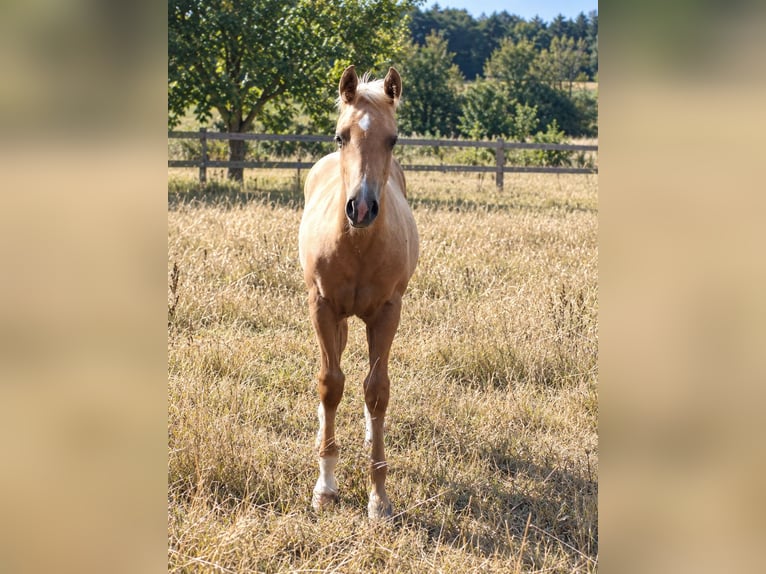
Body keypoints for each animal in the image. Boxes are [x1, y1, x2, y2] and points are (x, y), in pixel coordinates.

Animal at [298, 65, 419, 519]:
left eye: (393, 139)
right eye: (340, 136)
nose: (362, 208)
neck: (357, 243)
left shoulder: (387, 311)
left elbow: (377, 390)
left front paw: (378, 497)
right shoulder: (322, 306)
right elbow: (330, 383)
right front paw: (326, 487)